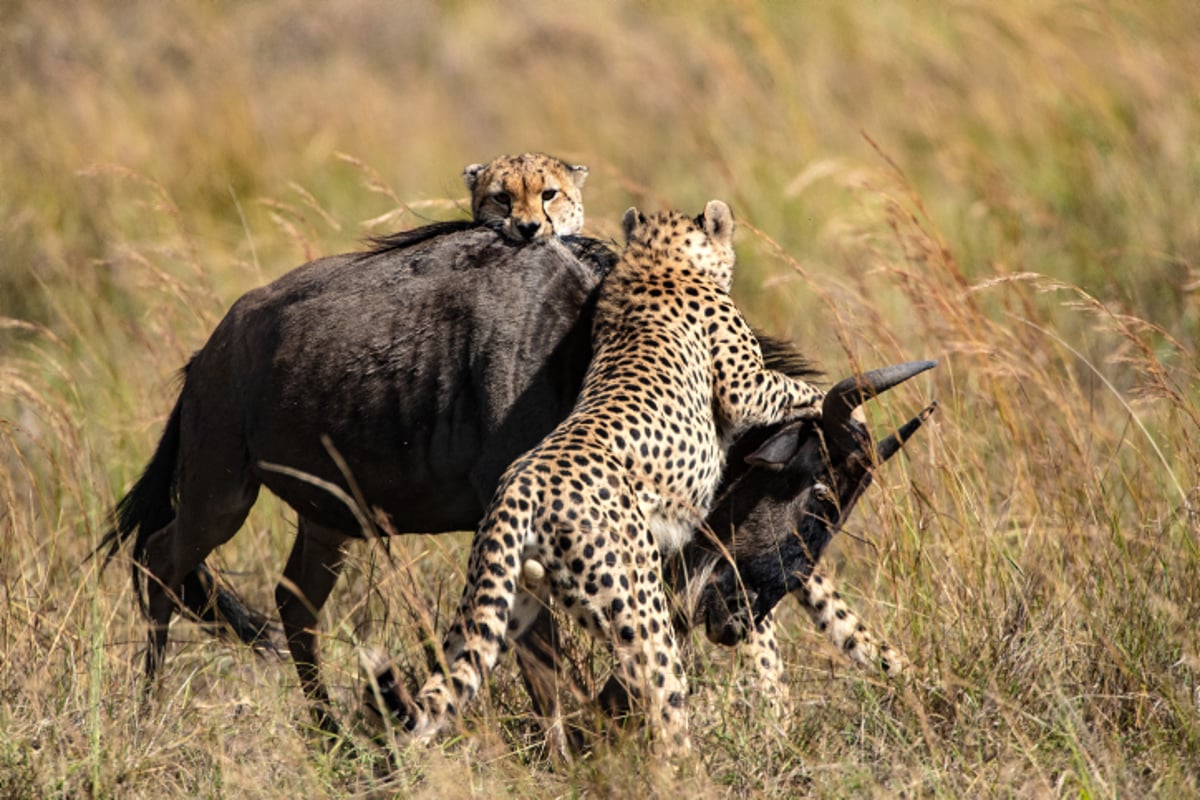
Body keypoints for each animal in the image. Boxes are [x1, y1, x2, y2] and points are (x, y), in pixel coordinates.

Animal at [369, 201, 825, 758]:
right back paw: (690, 768)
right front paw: (835, 402)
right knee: (665, 702)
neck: (655, 259)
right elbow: (785, 389)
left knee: (454, 678)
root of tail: (520, 484)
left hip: (510, 597)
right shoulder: (743, 385)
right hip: (638, 603)